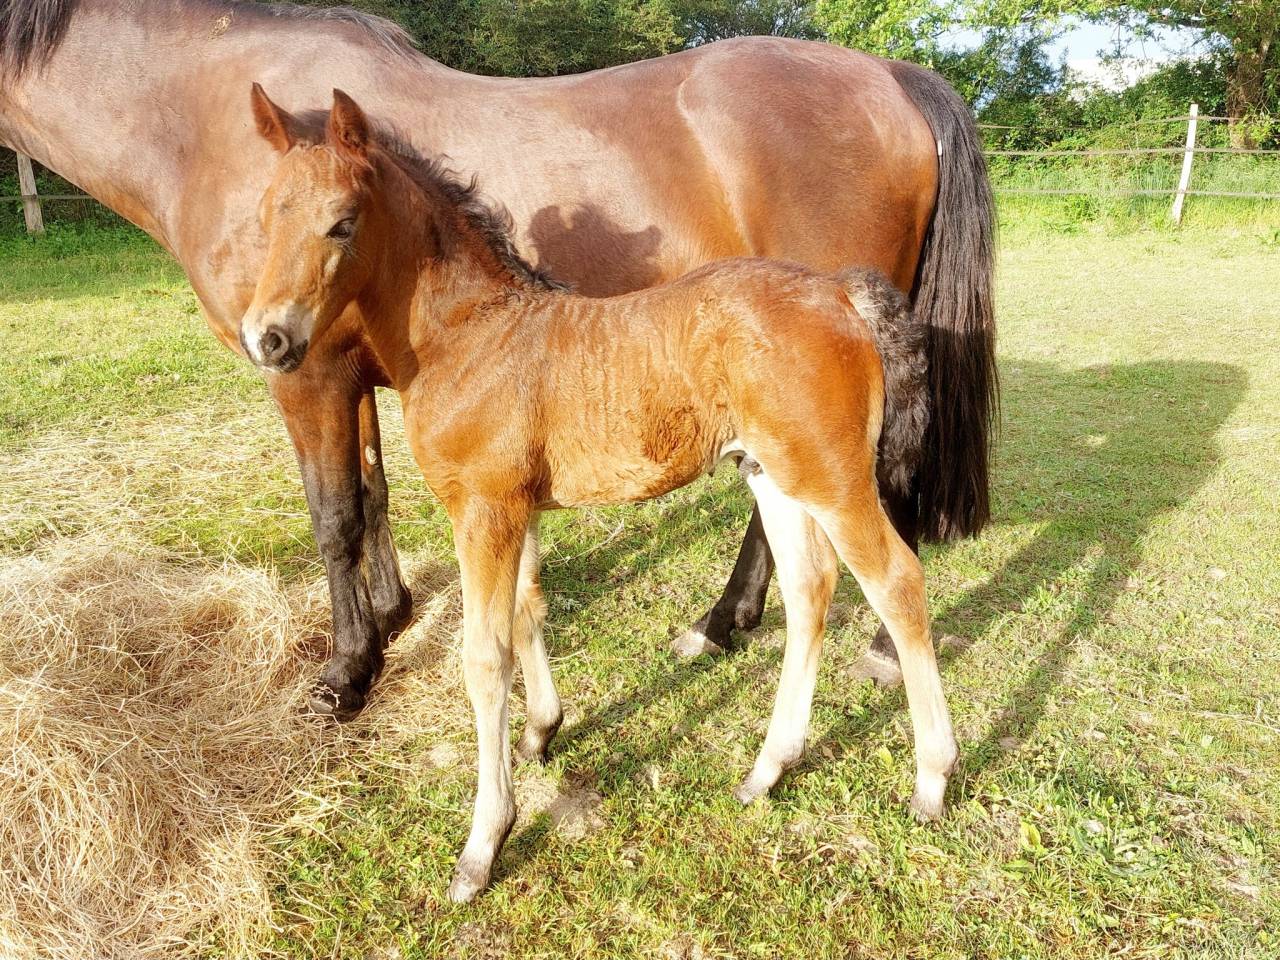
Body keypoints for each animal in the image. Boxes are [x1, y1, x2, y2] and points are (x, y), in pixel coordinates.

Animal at [0, 0, 995, 722]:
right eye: (271, 212)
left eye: (335, 225)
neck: (194, 110)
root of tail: (892, 76)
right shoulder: (357, 374)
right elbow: (374, 494)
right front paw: (392, 618)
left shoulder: (306, 371)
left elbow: (335, 516)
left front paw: (347, 671)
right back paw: (723, 626)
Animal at [244, 86, 960, 902]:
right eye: (265, 218)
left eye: (342, 222)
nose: (266, 338)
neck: (471, 336)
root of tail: (840, 290)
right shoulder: (515, 506)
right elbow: (528, 612)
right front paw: (541, 731)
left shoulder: (482, 509)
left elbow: (484, 657)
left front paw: (484, 842)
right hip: (771, 474)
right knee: (810, 590)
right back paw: (768, 768)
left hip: (833, 479)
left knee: (896, 583)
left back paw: (932, 778)